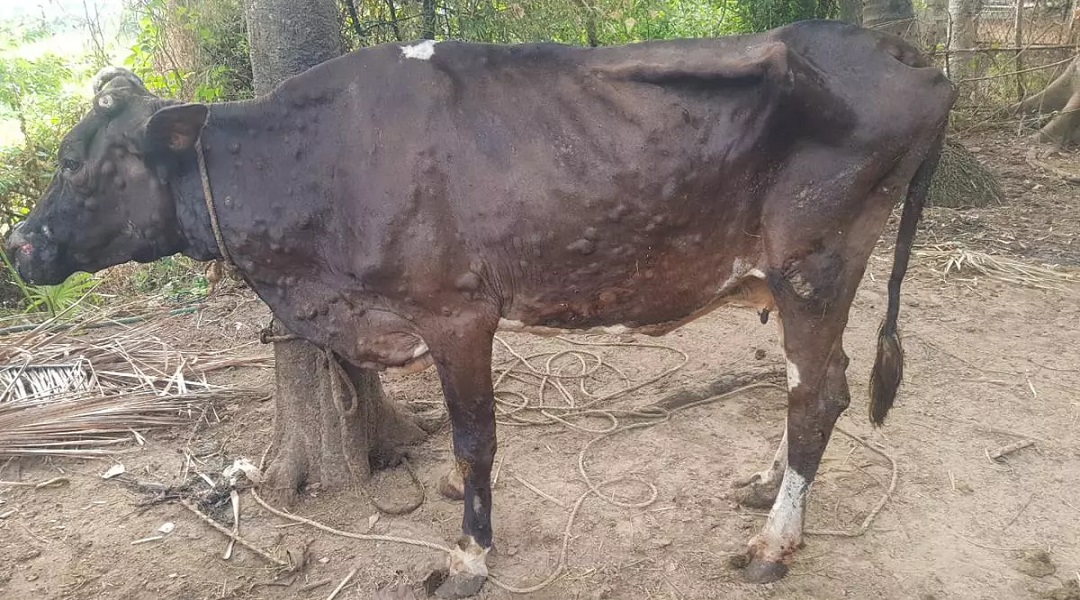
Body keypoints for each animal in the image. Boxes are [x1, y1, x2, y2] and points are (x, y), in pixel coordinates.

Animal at [6, 18, 954, 595]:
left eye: (79, 162)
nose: (17, 245)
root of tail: (915, 65)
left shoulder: (457, 313)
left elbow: (474, 442)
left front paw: (469, 555)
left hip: (815, 265)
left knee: (820, 392)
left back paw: (773, 546)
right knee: (812, 388)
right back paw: (765, 488)